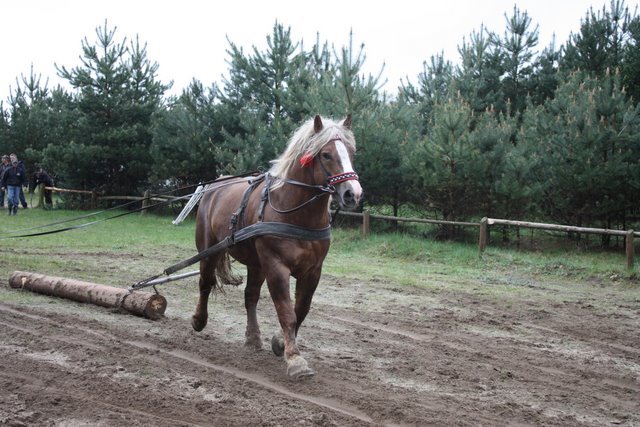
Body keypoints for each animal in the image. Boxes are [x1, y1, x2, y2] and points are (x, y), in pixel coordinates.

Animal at [192, 115, 362, 380]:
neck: (296, 214)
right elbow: (286, 312)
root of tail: (215, 184)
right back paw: (199, 320)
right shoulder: (276, 266)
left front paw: (280, 343)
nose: (353, 194)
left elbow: (301, 310)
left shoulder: (312, 271)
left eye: (351, 152)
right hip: (209, 250)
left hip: (256, 263)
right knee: (205, 283)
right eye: (326, 154)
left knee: (250, 296)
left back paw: (253, 338)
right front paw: (295, 360)